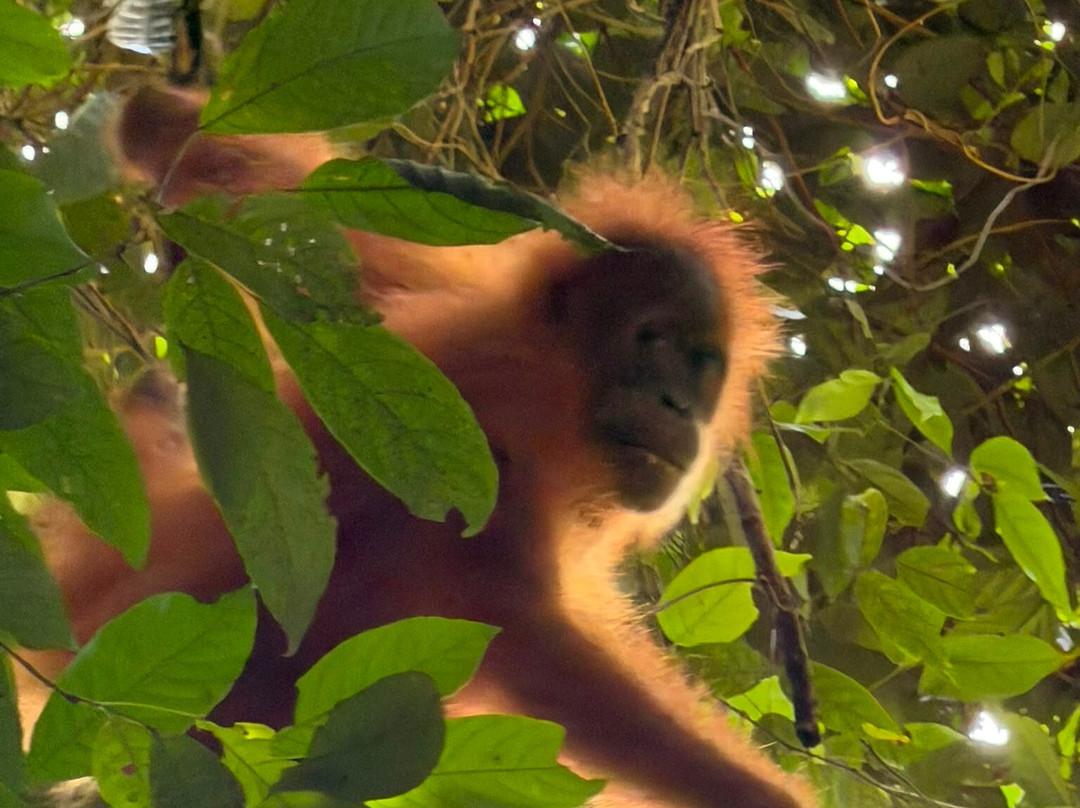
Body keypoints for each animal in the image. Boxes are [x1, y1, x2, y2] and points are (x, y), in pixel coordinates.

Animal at [19, 85, 816, 808]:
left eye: (701, 363)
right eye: (652, 342)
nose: (679, 405)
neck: (548, 371)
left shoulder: (424, 288)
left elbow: (282, 200)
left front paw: (143, 107)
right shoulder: (491, 446)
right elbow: (530, 640)